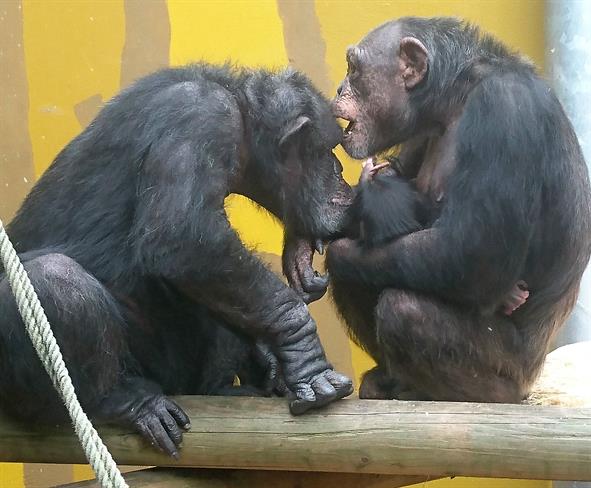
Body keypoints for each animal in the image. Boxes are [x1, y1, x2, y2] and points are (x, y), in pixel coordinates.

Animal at [0, 62, 354, 458]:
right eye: (328, 149)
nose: (341, 173)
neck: (240, 114)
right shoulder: (201, 117)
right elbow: (183, 236)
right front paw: (306, 357)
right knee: (54, 278)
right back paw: (124, 401)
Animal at [328, 16, 591, 404]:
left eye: (354, 68)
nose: (338, 88)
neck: (454, 98)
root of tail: (531, 379)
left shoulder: (505, 112)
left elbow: (473, 256)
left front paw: (339, 252)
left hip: (512, 367)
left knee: (404, 310)